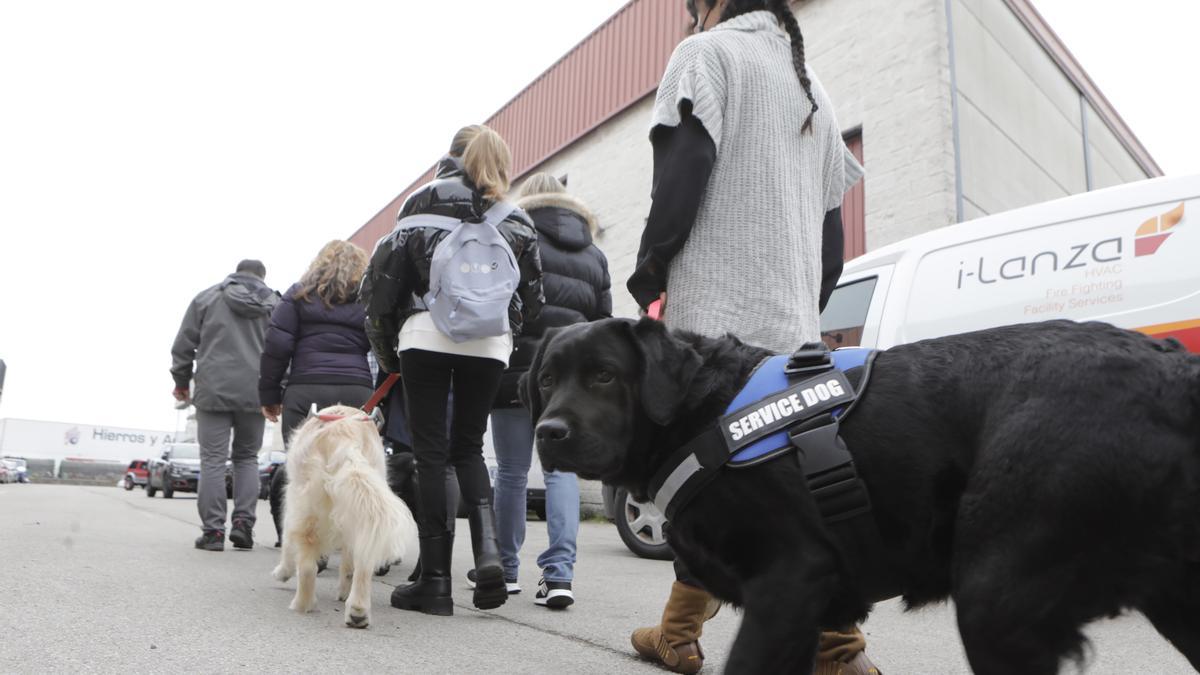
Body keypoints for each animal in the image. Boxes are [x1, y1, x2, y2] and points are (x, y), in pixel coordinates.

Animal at [272, 401, 417, 629]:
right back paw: (357, 612)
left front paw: (282, 572)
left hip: (305, 508)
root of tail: (345, 441)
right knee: (362, 565)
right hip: (362, 514)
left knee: (307, 567)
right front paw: (343, 592)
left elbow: (287, 543)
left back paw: (302, 604)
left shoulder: (291, 499)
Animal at [523, 319, 1200, 672]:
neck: (703, 410)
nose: (547, 433)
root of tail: (1171, 367)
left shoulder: (789, 581)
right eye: (548, 380)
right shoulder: (803, 609)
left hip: (998, 599)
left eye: (605, 376)